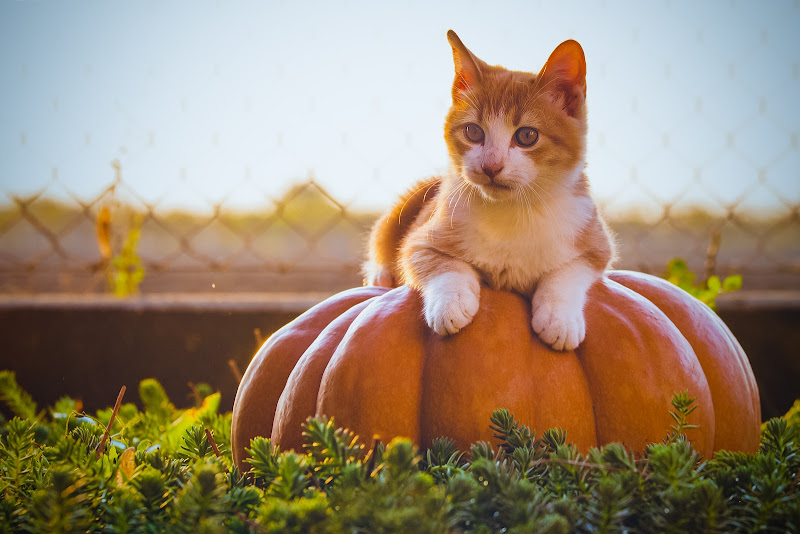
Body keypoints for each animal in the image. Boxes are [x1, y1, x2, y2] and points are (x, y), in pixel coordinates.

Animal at [366, 31, 616, 354]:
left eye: (527, 135)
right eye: (473, 132)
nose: (491, 166)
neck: (511, 211)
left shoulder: (593, 238)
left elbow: (572, 270)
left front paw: (559, 318)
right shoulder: (423, 235)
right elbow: (434, 259)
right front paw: (451, 302)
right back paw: (381, 276)